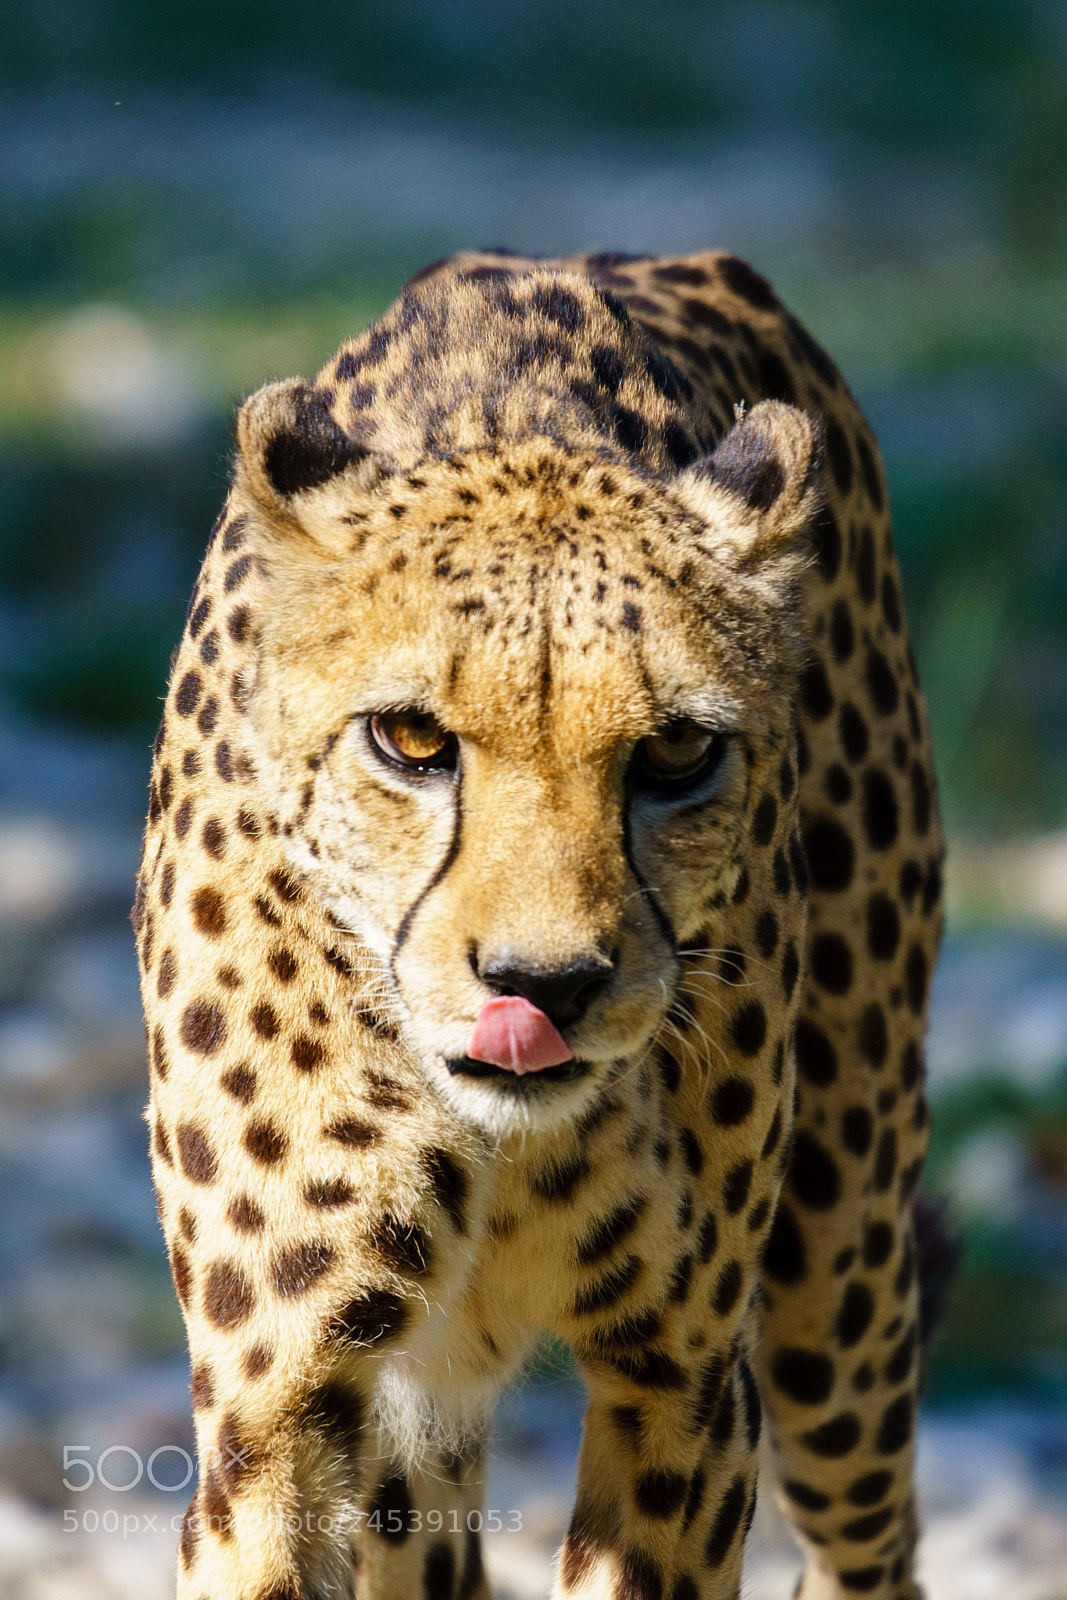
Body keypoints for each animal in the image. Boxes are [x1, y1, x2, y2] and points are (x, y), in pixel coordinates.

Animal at [134, 245, 945, 1600]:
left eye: (674, 752)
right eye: (410, 738)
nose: (544, 984)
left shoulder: (679, 1378)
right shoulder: (277, 1390)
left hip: (840, 1268)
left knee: (867, 1530)